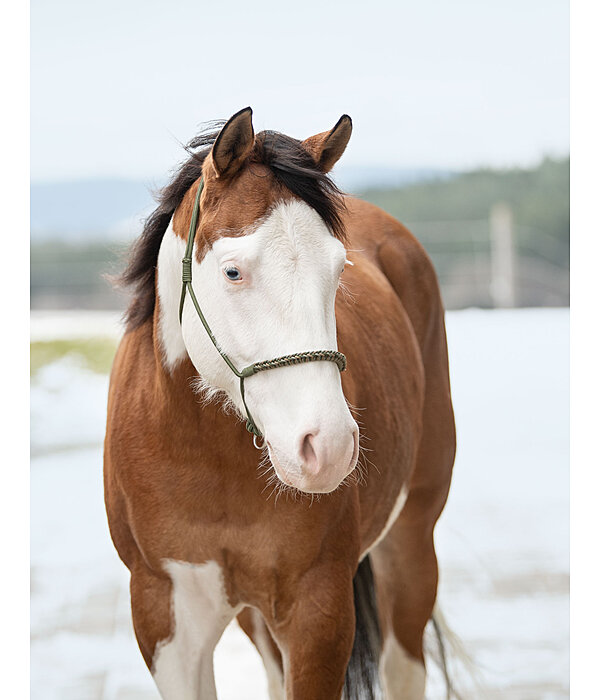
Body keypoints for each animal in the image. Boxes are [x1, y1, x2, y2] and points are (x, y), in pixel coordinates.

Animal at [105, 105, 458, 700]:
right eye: (233, 271)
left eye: (340, 272)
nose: (329, 447)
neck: (207, 457)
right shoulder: (164, 617)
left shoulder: (317, 612)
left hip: (411, 543)